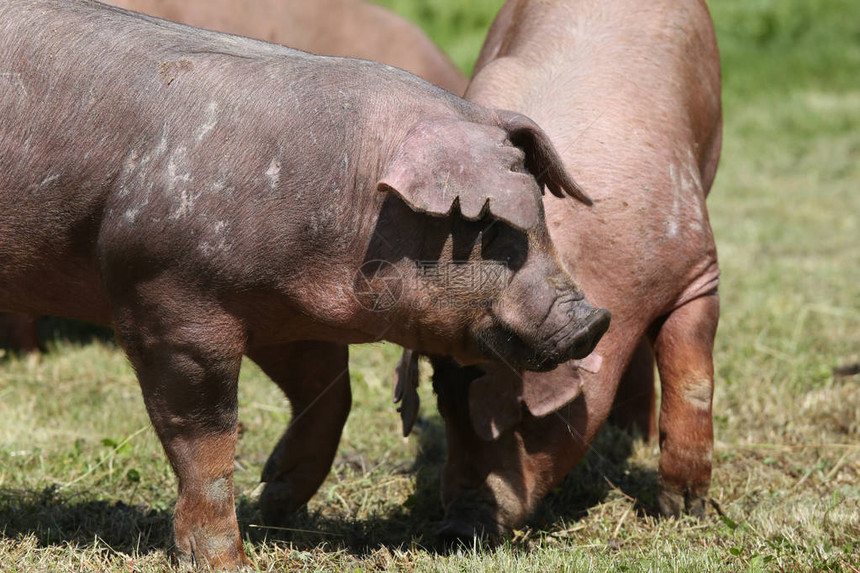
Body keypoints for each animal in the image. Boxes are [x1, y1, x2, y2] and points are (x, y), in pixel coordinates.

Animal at [428, 0, 720, 540]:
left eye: (523, 415)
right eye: (442, 399)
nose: (456, 527)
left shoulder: (696, 265)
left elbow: (691, 374)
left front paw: (683, 511)